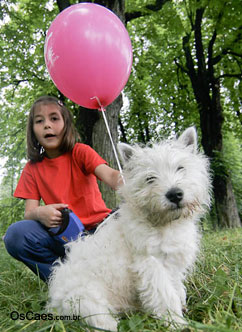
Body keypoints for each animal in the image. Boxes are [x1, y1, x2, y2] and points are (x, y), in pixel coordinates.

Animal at [48, 126, 211, 330]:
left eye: (180, 168)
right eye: (150, 178)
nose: (174, 194)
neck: (164, 224)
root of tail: (55, 303)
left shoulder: (173, 265)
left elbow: (176, 289)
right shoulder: (151, 264)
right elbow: (165, 295)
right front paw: (176, 323)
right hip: (85, 298)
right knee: (99, 320)